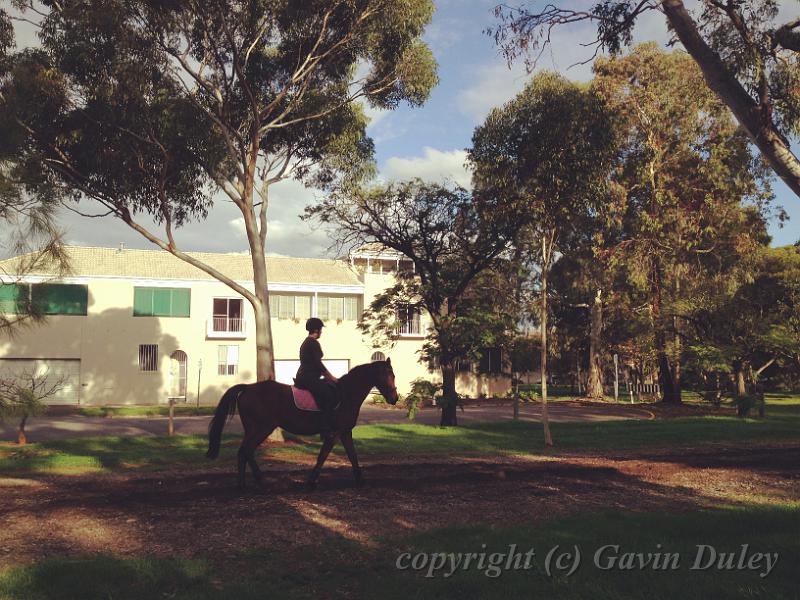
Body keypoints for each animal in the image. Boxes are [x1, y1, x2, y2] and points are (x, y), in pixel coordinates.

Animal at [205, 358, 396, 490]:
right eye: (388, 375)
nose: (394, 398)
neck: (346, 394)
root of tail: (248, 388)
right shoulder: (334, 433)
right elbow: (323, 456)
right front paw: (311, 481)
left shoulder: (344, 432)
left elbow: (352, 455)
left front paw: (360, 480)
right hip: (261, 428)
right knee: (246, 450)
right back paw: (259, 480)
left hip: (254, 429)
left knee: (244, 452)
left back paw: (243, 483)